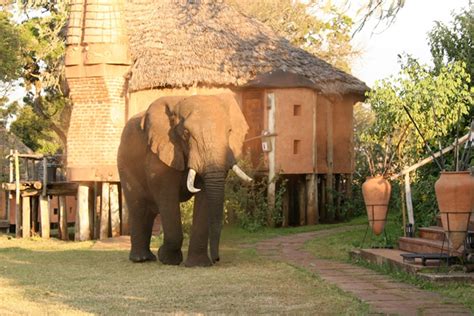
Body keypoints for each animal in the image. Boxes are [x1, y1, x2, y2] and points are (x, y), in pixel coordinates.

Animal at [118, 94, 252, 266]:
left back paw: (149, 257)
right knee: (139, 208)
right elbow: (167, 196)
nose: (216, 259)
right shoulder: (161, 154)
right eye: (186, 133)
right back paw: (141, 259)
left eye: (229, 131)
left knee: (149, 211)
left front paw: (198, 264)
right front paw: (167, 258)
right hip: (125, 166)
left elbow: (205, 197)